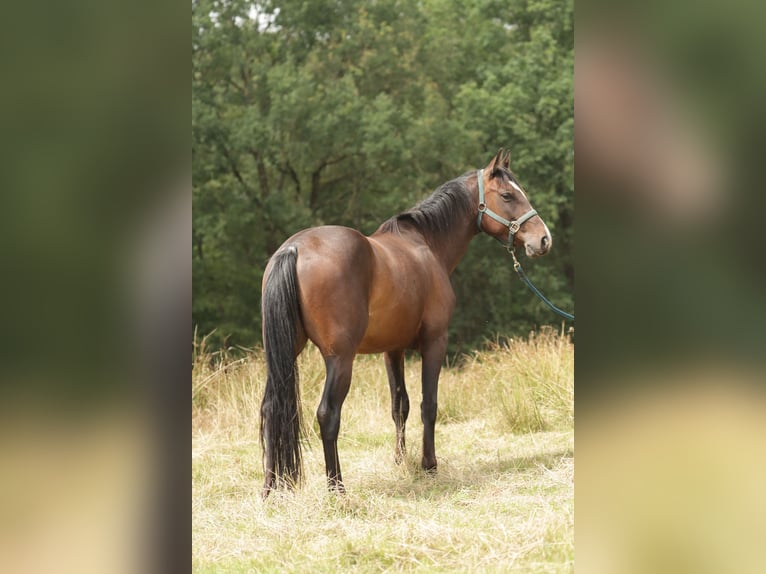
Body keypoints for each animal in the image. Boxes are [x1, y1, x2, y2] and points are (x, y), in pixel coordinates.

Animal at [260, 151, 556, 498]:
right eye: (508, 195)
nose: (544, 239)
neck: (427, 245)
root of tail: (293, 249)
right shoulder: (435, 342)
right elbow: (430, 404)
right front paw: (429, 464)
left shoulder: (393, 350)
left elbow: (399, 405)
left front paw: (400, 461)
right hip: (340, 359)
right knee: (327, 414)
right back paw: (337, 488)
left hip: (285, 354)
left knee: (271, 408)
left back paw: (270, 488)